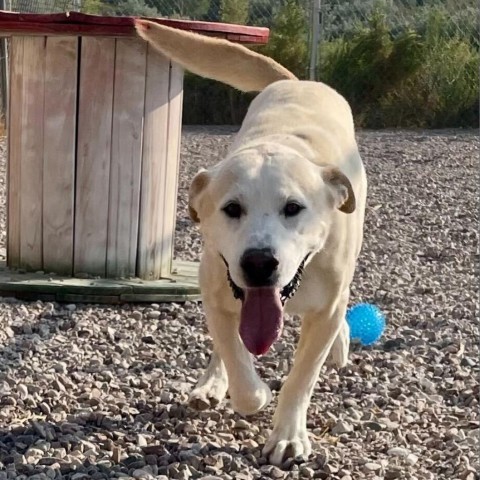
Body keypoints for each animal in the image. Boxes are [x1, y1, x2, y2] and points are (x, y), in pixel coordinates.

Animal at [135, 18, 368, 464]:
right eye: (232, 208)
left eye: (293, 208)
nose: (260, 262)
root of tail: (299, 82)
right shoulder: (216, 292)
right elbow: (236, 360)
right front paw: (253, 394)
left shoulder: (325, 307)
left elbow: (301, 379)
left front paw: (288, 437)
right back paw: (210, 385)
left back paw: (341, 343)